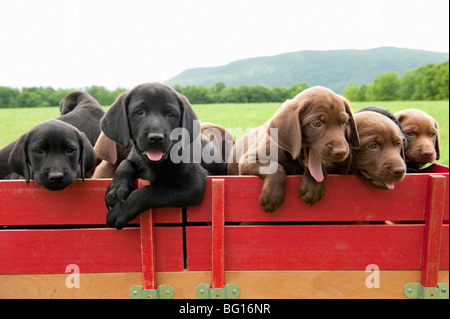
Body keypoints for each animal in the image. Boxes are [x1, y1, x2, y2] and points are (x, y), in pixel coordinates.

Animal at [103, 82, 212, 230]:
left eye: (171, 114)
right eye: (139, 112)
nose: (156, 138)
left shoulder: (194, 186)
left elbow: (149, 191)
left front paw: (120, 210)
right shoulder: (135, 156)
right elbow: (125, 162)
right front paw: (116, 189)